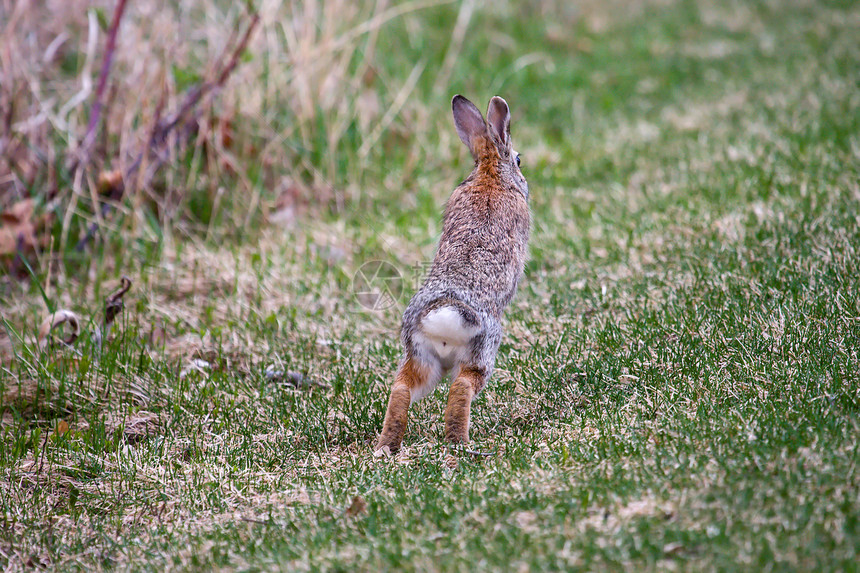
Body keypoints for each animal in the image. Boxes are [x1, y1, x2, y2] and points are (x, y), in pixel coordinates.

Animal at [372, 92, 528, 452]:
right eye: (518, 159)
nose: (523, 174)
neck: (489, 173)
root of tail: (446, 314)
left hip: (419, 356)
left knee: (401, 388)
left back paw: (386, 447)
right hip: (481, 354)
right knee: (462, 388)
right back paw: (462, 444)